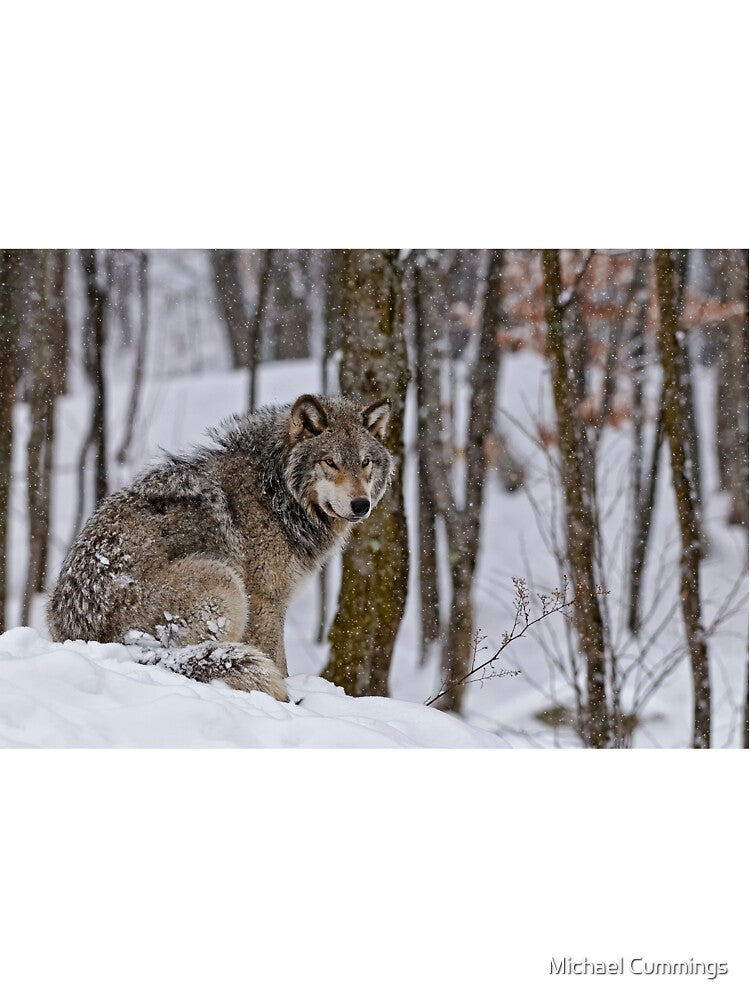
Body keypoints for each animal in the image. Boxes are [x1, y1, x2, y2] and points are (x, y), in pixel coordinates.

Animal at [47, 394, 394, 701]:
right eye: (330, 462)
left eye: (365, 463)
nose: (361, 505)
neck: (275, 491)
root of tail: (79, 635)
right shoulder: (265, 600)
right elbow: (278, 662)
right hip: (225, 582)